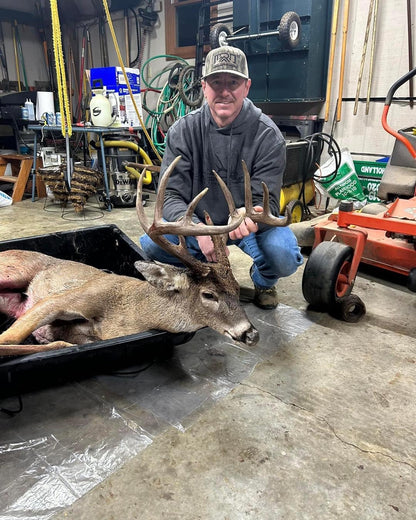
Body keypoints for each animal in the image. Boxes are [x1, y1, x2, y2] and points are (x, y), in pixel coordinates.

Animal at [0, 156, 290, 356]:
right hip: (13, 271)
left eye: (236, 289)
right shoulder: (65, 298)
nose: (251, 334)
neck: (127, 316)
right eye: (209, 294)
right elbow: (10, 339)